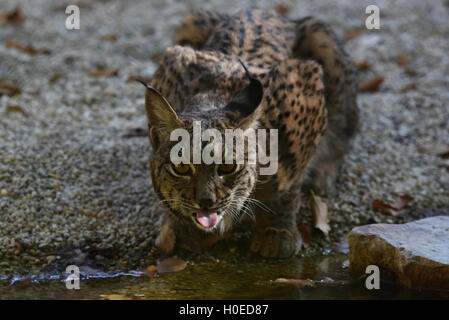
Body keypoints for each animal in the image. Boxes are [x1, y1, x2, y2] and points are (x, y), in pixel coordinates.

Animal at [137, 8, 356, 258]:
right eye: (181, 168)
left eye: (227, 167)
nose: (205, 202)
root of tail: (262, 10)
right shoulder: (173, 60)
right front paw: (176, 224)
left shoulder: (304, 84)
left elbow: (290, 180)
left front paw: (277, 228)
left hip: (322, 41)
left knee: (346, 124)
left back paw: (324, 172)